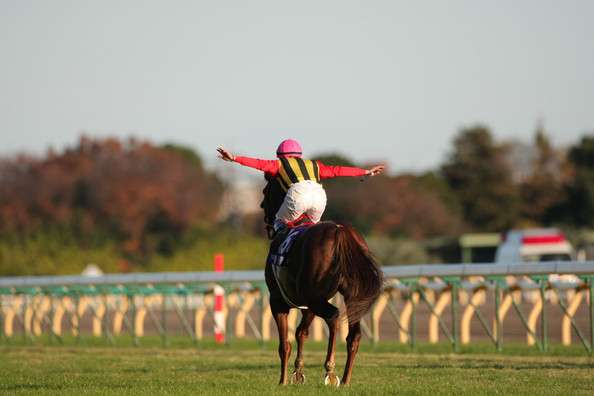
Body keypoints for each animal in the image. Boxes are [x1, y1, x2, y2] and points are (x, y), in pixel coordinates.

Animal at [260, 177, 384, 386]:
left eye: (265, 191)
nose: (262, 207)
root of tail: (340, 231)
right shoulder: (307, 305)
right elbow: (301, 332)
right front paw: (298, 373)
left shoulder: (277, 301)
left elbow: (285, 345)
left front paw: (283, 381)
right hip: (349, 297)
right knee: (354, 335)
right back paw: (345, 380)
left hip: (316, 299)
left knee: (334, 317)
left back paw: (330, 369)